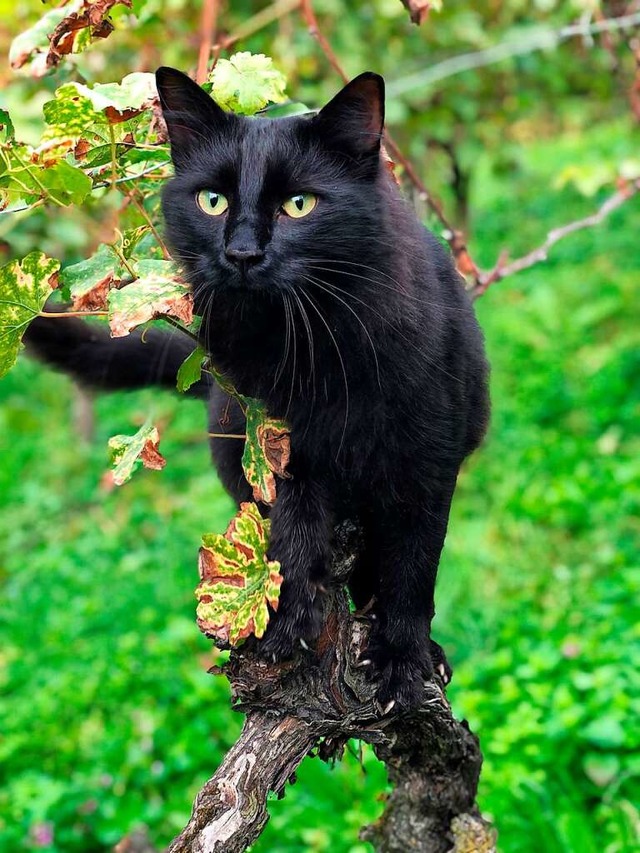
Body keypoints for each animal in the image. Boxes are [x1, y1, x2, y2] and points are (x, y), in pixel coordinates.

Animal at [22, 66, 488, 708]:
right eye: (212, 201)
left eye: (299, 205)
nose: (242, 252)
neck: (314, 341)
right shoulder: (279, 439)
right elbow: (294, 527)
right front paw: (285, 618)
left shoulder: (428, 461)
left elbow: (414, 562)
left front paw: (402, 660)